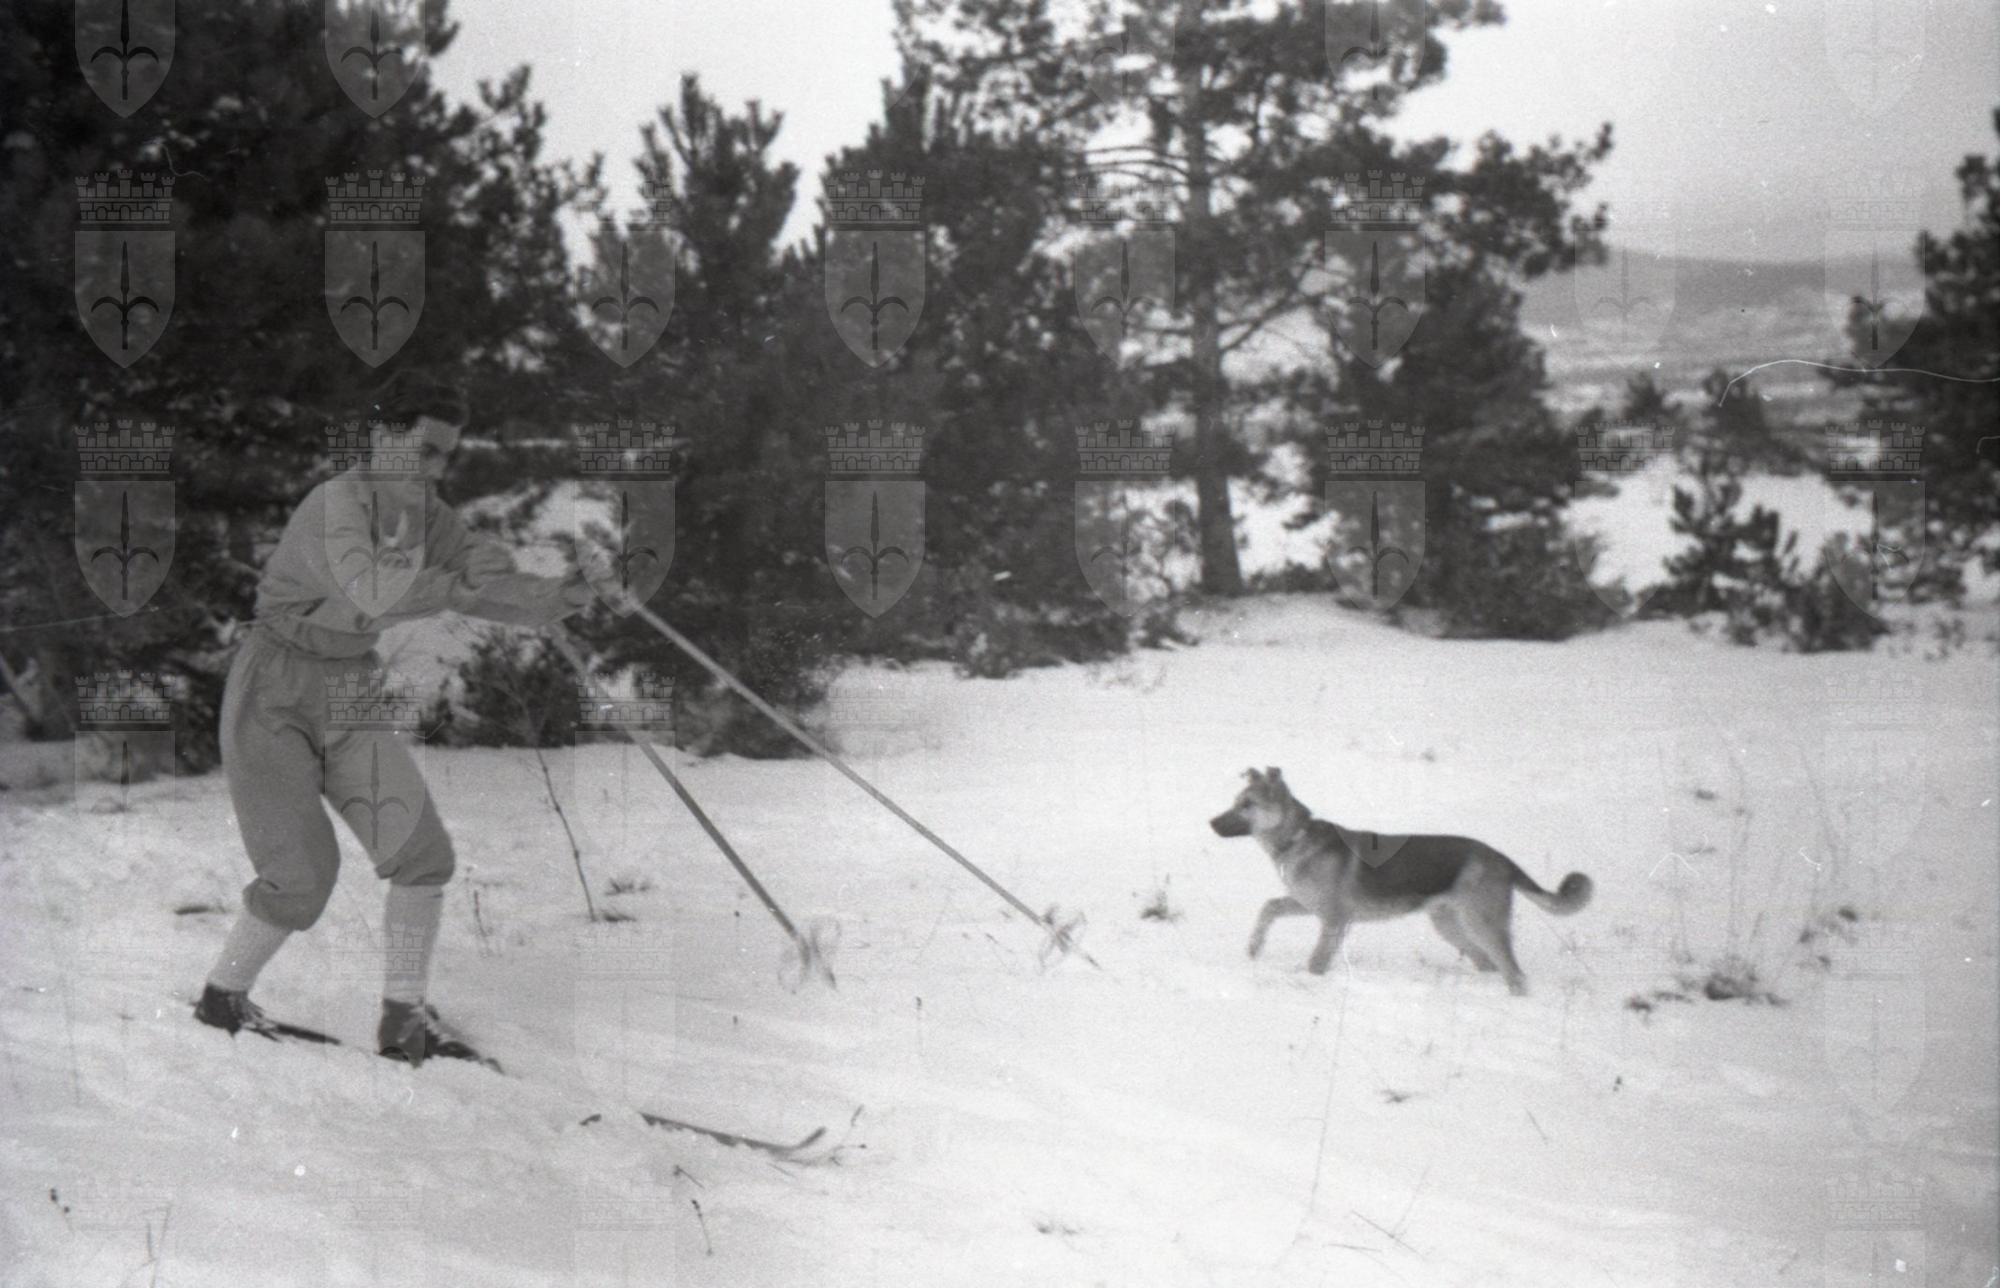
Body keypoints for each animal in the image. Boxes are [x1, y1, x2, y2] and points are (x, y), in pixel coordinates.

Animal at [1209, 768, 1591, 994]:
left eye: (1247, 805)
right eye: (1236, 801)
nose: (1211, 823)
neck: (1296, 838)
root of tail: (1501, 857)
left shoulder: (1333, 919)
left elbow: (1317, 961)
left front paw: (1310, 981)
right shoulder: (1306, 904)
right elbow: (1268, 908)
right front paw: (1254, 947)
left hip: (1482, 923)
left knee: (1514, 973)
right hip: (1450, 925)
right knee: (1486, 963)